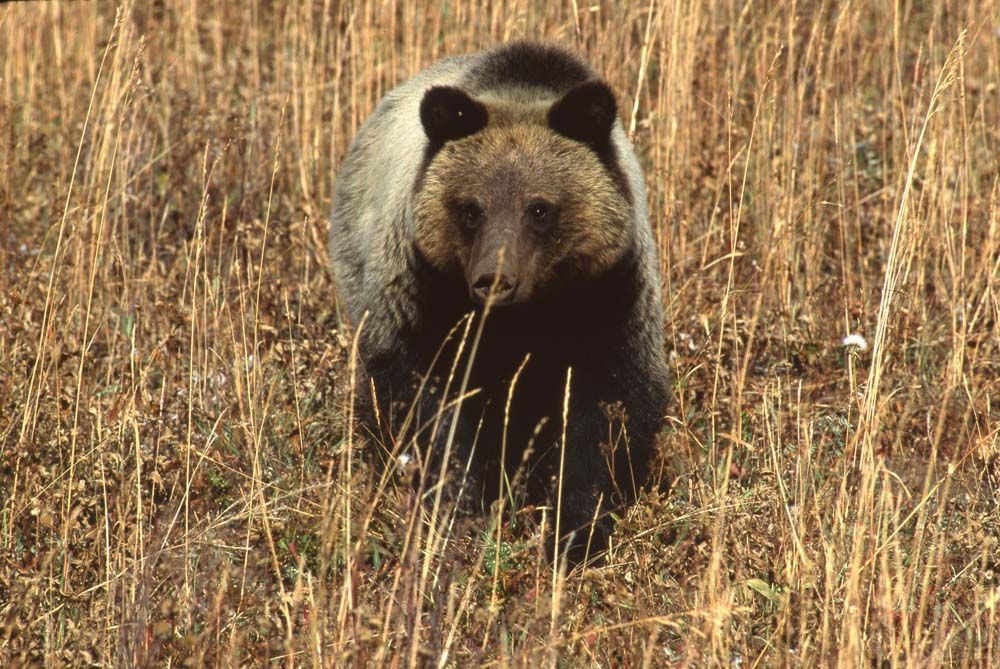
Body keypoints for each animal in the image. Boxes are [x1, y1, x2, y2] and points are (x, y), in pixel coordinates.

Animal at [329, 41, 669, 564]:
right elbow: (431, 405)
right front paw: (460, 506)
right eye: (471, 208)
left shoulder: (608, 298)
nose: (495, 281)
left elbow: (606, 414)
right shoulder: (426, 297)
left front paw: (574, 531)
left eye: (539, 208)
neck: (524, 321)